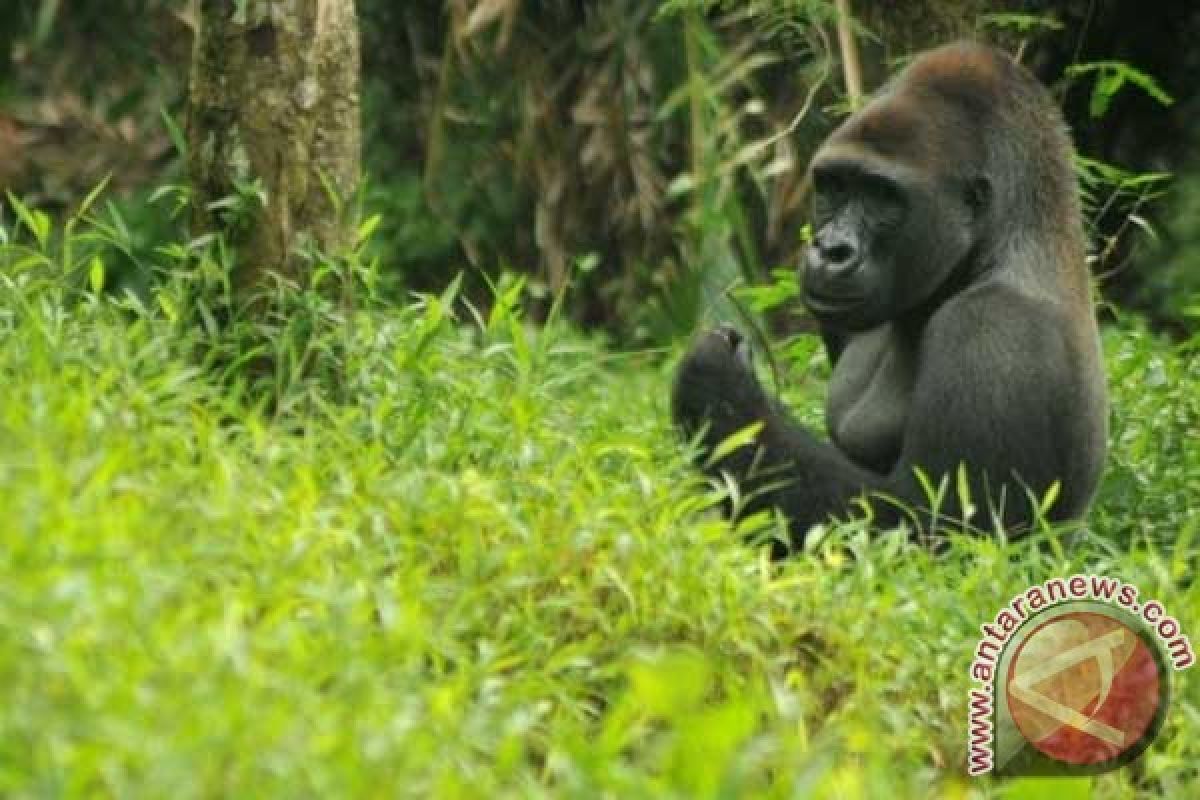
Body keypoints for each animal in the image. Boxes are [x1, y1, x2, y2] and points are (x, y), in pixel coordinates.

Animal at [676, 40, 1104, 554]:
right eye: (834, 185)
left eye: (883, 196)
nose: (830, 250)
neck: (1010, 241)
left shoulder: (996, 332)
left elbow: (934, 531)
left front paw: (717, 386)